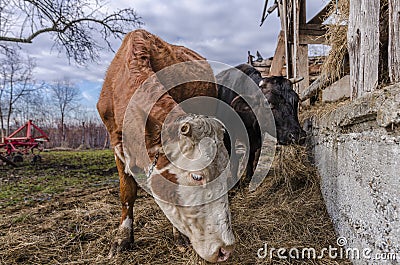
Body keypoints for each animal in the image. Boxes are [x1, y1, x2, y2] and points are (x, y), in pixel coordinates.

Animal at [97, 29, 234, 262]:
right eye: (196, 176)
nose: (226, 249)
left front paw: (178, 235)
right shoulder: (116, 144)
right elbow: (127, 193)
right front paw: (122, 238)